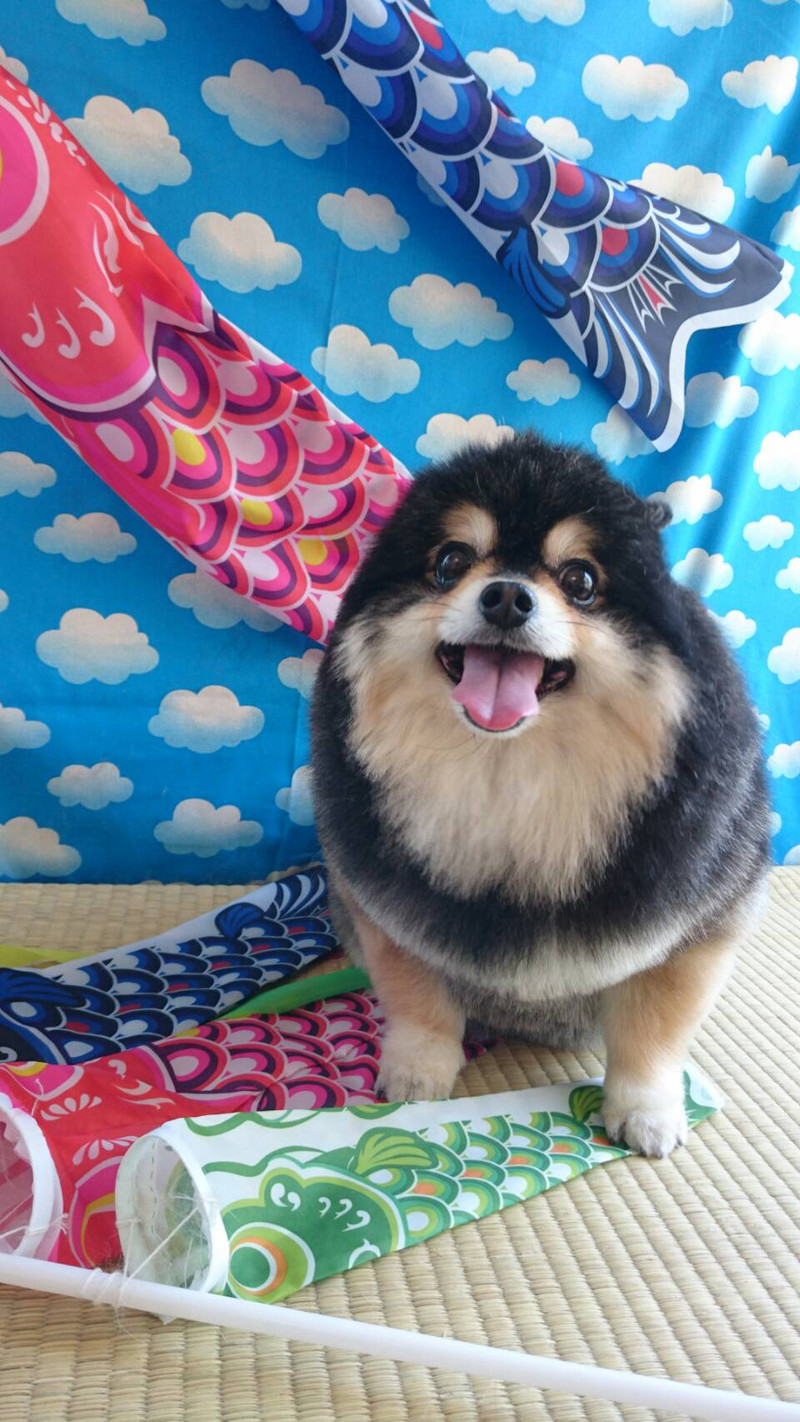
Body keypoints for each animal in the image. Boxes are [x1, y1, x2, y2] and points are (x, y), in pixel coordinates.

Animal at [311, 431, 769, 1157]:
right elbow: (416, 996)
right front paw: (418, 1071)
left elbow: (655, 1030)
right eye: (450, 563)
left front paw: (646, 1109)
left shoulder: (704, 919)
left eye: (580, 581)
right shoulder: (386, 907)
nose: (506, 597)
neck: (513, 775)